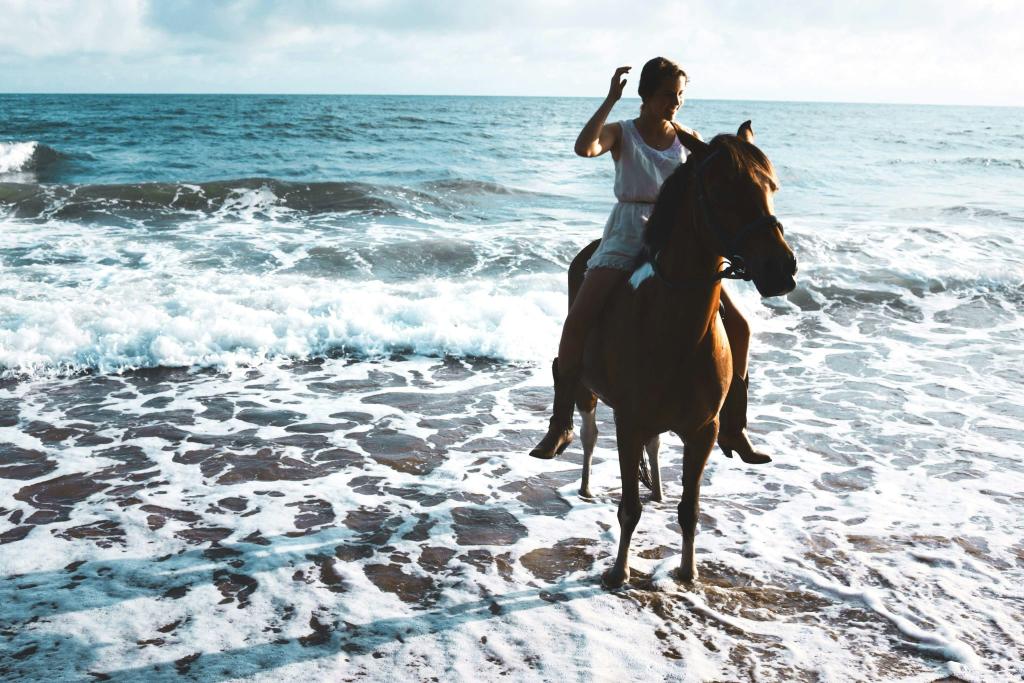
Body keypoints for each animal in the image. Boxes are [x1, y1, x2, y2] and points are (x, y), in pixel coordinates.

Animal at [565, 120, 794, 585]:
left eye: (771, 186)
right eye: (723, 189)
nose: (782, 269)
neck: (674, 329)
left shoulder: (703, 431)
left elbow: (690, 509)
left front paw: (688, 571)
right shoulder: (628, 424)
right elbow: (629, 509)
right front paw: (619, 572)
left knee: (653, 449)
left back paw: (657, 486)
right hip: (587, 389)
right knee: (588, 434)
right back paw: (582, 481)